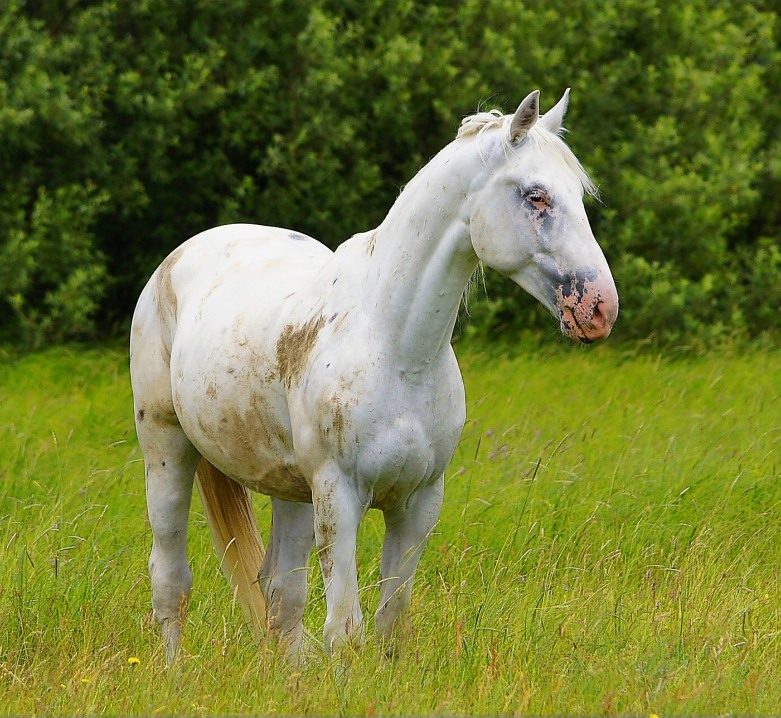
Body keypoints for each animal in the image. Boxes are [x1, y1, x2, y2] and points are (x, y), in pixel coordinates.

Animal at [129, 88, 616, 664]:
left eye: (578, 195)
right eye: (536, 195)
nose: (599, 308)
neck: (397, 348)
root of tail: (183, 254)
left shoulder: (418, 504)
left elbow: (389, 626)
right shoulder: (339, 498)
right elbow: (345, 631)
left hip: (290, 490)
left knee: (280, 593)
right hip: (167, 449)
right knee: (171, 580)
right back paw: (175, 673)